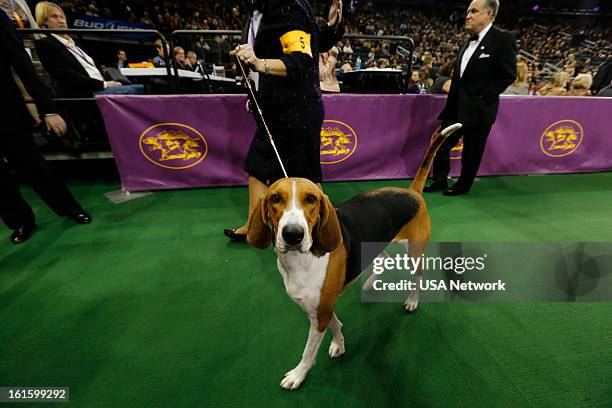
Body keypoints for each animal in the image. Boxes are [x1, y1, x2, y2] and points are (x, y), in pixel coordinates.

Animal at [246, 122, 462, 388]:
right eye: (275, 198)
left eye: (311, 199)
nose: (293, 235)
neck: (299, 261)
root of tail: (412, 191)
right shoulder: (320, 309)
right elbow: (336, 324)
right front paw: (339, 344)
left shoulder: (319, 314)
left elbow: (309, 351)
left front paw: (298, 374)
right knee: (384, 259)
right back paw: (369, 283)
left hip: (415, 251)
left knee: (418, 277)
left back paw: (412, 300)